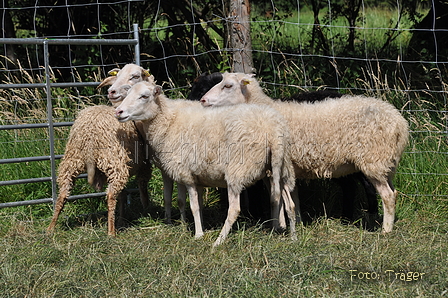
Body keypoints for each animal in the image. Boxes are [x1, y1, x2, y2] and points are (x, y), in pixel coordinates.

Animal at [115, 81, 298, 247]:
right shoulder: (188, 173)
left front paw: (198, 234)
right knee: (289, 203)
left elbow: (194, 206)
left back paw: (218, 241)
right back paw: (292, 237)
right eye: (127, 93)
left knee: (234, 210)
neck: (169, 120)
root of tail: (274, 129)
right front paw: (187, 226)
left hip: (237, 171)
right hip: (280, 167)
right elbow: (189, 203)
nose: (118, 112)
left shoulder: (187, 176)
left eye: (144, 96)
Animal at [200, 71, 410, 233]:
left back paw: (385, 231)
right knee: (392, 192)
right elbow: (289, 198)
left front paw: (280, 227)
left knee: (387, 195)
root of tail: (400, 123)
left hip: (373, 160)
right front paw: (292, 224)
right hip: (386, 163)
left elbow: (278, 199)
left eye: (227, 86)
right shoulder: (283, 169)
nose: (202, 100)